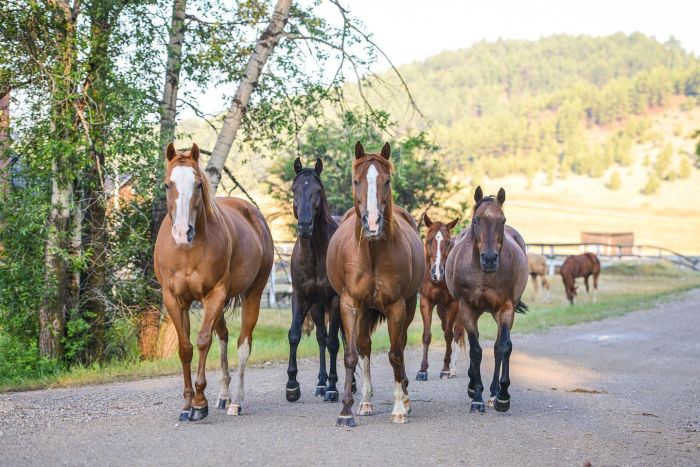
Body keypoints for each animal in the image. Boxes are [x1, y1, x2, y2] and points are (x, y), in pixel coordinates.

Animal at [155, 142, 274, 420]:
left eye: (199, 184)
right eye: (167, 185)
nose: (182, 232)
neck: (186, 251)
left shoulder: (214, 295)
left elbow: (202, 341)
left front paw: (200, 403)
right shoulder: (175, 299)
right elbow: (186, 347)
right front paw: (187, 404)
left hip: (252, 295)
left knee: (242, 345)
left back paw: (236, 402)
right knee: (223, 338)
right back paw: (224, 395)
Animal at [326, 141, 424, 426]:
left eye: (387, 181)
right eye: (356, 181)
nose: (372, 223)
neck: (372, 253)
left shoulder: (397, 307)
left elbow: (395, 353)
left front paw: (399, 408)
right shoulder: (351, 305)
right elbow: (351, 355)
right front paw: (345, 411)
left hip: (409, 307)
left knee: (399, 345)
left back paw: (405, 399)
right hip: (365, 311)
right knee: (365, 347)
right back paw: (366, 402)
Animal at [416, 214, 464, 382]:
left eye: (448, 242)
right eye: (429, 240)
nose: (437, 273)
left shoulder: (454, 305)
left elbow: (449, 335)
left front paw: (445, 369)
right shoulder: (426, 302)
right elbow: (426, 335)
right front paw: (423, 370)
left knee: (458, 332)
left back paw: (454, 368)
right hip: (442, 310)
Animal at [446, 186, 528, 414]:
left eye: (502, 220)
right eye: (476, 220)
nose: (490, 259)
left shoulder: (506, 309)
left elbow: (503, 347)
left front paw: (502, 396)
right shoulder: (466, 308)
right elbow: (475, 351)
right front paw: (477, 396)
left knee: (498, 347)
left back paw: (493, 392)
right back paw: (473, 387)